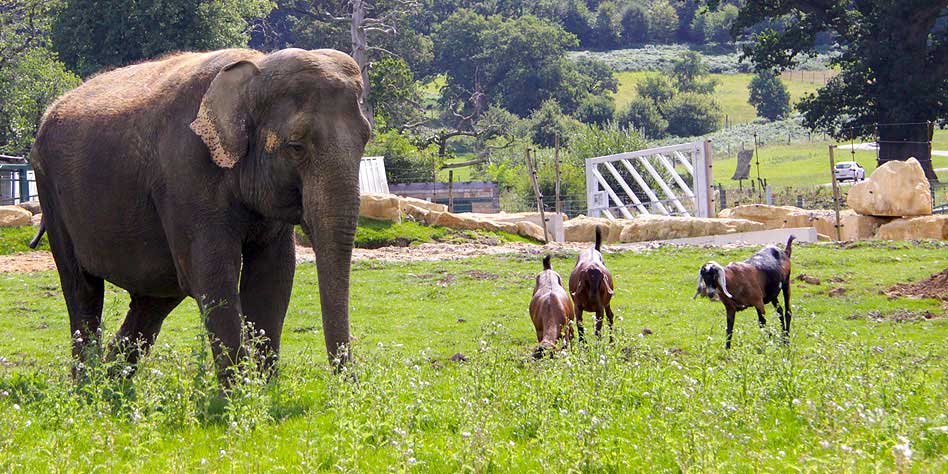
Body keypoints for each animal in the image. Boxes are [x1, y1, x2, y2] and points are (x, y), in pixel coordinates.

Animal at [29, 48, 370, 386]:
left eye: (365, 139)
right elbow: (213, 277)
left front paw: (265, 390)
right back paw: (87, 388)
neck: (254, 68)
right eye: (296, 146)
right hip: (50, 193)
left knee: (155, 297)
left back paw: (111, 383)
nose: (348, 387)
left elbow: (273, 277)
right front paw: (241, 393)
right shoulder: (186, 174)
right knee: (83, 289)